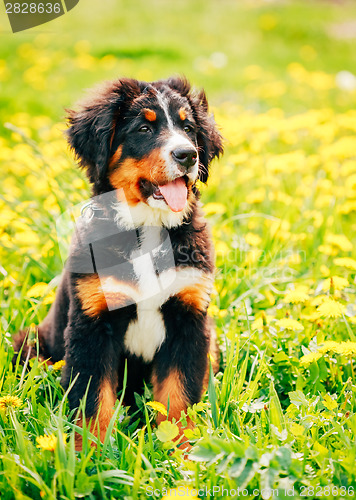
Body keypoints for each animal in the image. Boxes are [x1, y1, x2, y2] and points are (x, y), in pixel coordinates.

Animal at [14, 76, 225, 448]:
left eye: (188, 128)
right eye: (144, 128)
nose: (188, 155)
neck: (150, 229)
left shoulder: (189, 319)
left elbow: (179, 395)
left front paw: (183, 451)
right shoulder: (93, 323)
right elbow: (93, 397)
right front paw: (89, 452)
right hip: (30, 344)